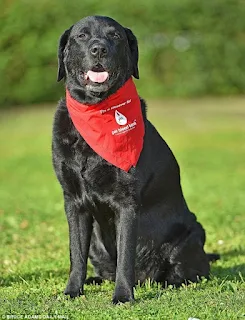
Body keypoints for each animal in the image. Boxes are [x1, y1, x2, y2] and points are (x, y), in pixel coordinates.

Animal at [52, 15, 218, 304]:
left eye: (115, 36)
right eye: (82, 36)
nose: (99, 49)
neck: (97, 112)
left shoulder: (127, 202)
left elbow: (125, 256)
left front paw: (122, 296)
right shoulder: (73, 201)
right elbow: (76, 254)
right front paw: (72, 291)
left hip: (190, 235)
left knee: (189, 273)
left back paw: (167, 283)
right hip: (96, 242)